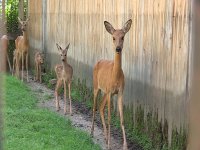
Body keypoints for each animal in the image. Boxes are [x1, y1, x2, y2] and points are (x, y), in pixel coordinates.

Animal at [91, 19, 133, 149]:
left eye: (123, 37)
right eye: (113, 37)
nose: (118, 48)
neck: (115, 77)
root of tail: (98, 61)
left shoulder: (119, 92)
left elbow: (122, 119)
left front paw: (125, 146)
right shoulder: (110, 92)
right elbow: (110, 118)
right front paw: (109, 144)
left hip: (106, 91)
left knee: (100, 107)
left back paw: (105, 137)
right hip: (96, 86)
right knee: (94, 106)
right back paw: (91, 132)